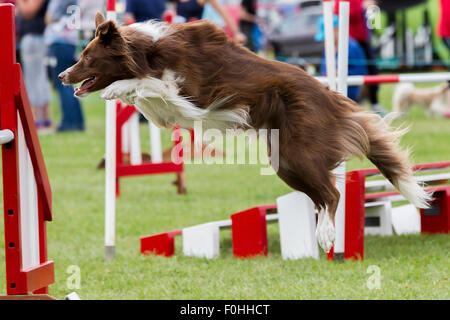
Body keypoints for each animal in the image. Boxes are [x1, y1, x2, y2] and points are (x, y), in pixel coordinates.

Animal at [59, 12, 432, 252]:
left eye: (87, 57)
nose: (62, 76)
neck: (148, 51)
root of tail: (330, 95)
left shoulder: (191, 92)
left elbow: (144, 83)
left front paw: (116, 88)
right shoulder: (170, 108)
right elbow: (143, 94)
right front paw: (121, 91)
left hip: (299, 153)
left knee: (332, 193)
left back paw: (327, 236)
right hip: (285, 162)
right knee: (321, 194)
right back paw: (321, 232)